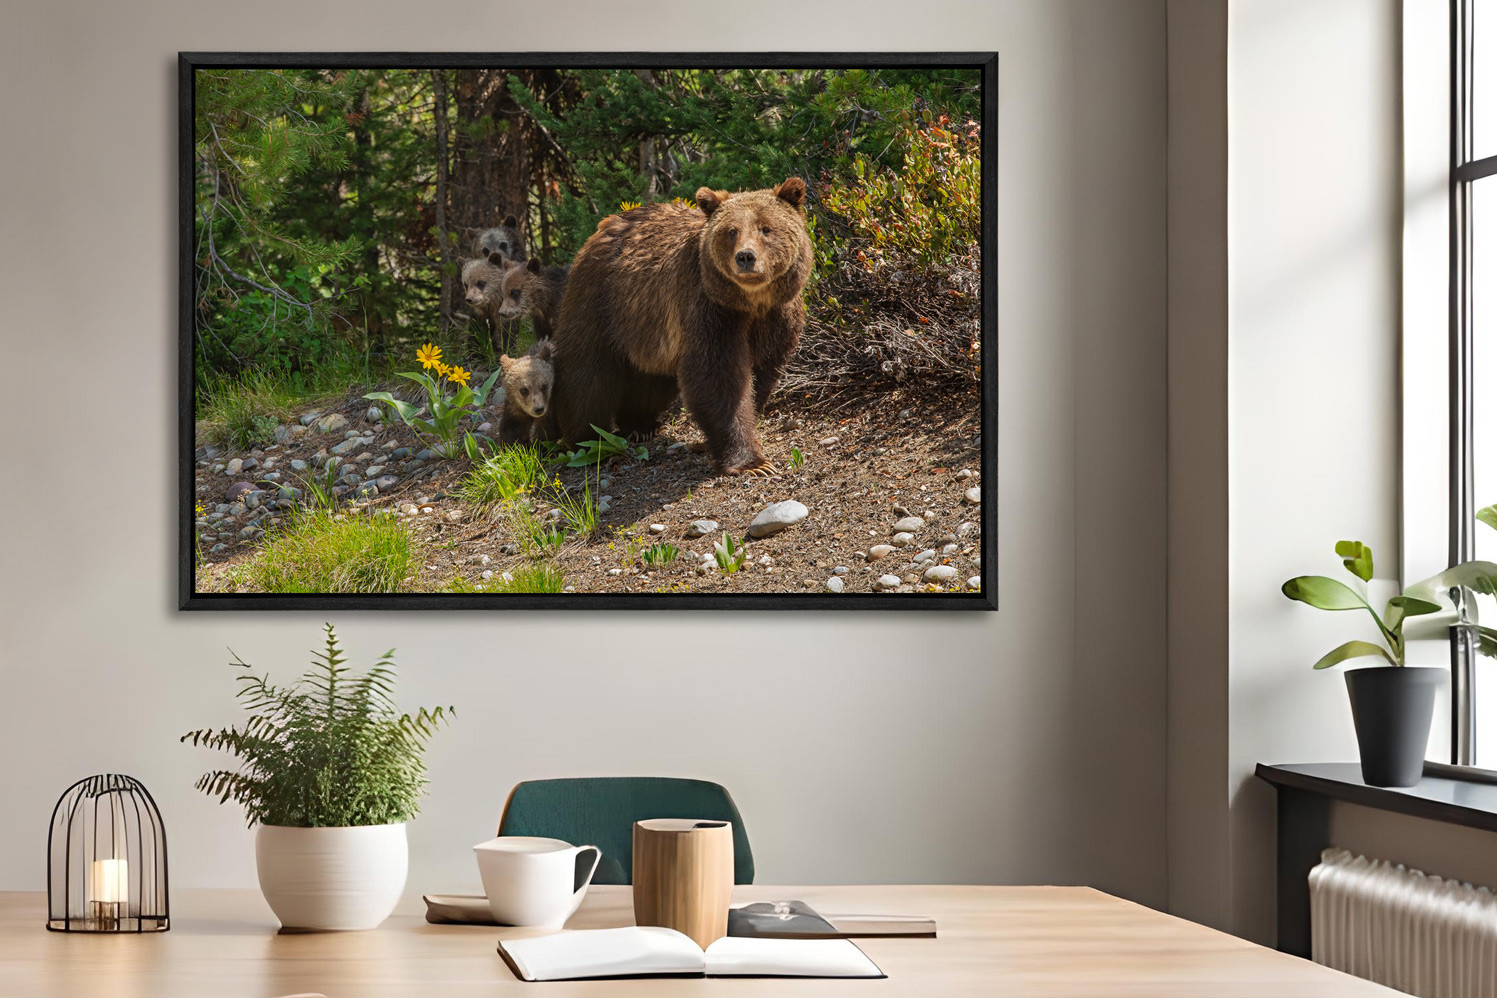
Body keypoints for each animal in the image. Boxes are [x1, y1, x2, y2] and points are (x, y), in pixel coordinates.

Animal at [546, 178, 811, 476]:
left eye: (766, 228)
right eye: (731, 231)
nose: (745, 257)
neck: (751, 302)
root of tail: (606, 224)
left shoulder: (776, 317)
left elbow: (762, 371)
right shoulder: (709, 310)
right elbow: (717, 376)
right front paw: (752, 463)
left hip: (648, 327)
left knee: (651, 379)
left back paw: (639, 425)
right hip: (601, 301)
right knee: (586, 371)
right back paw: (587, 440)